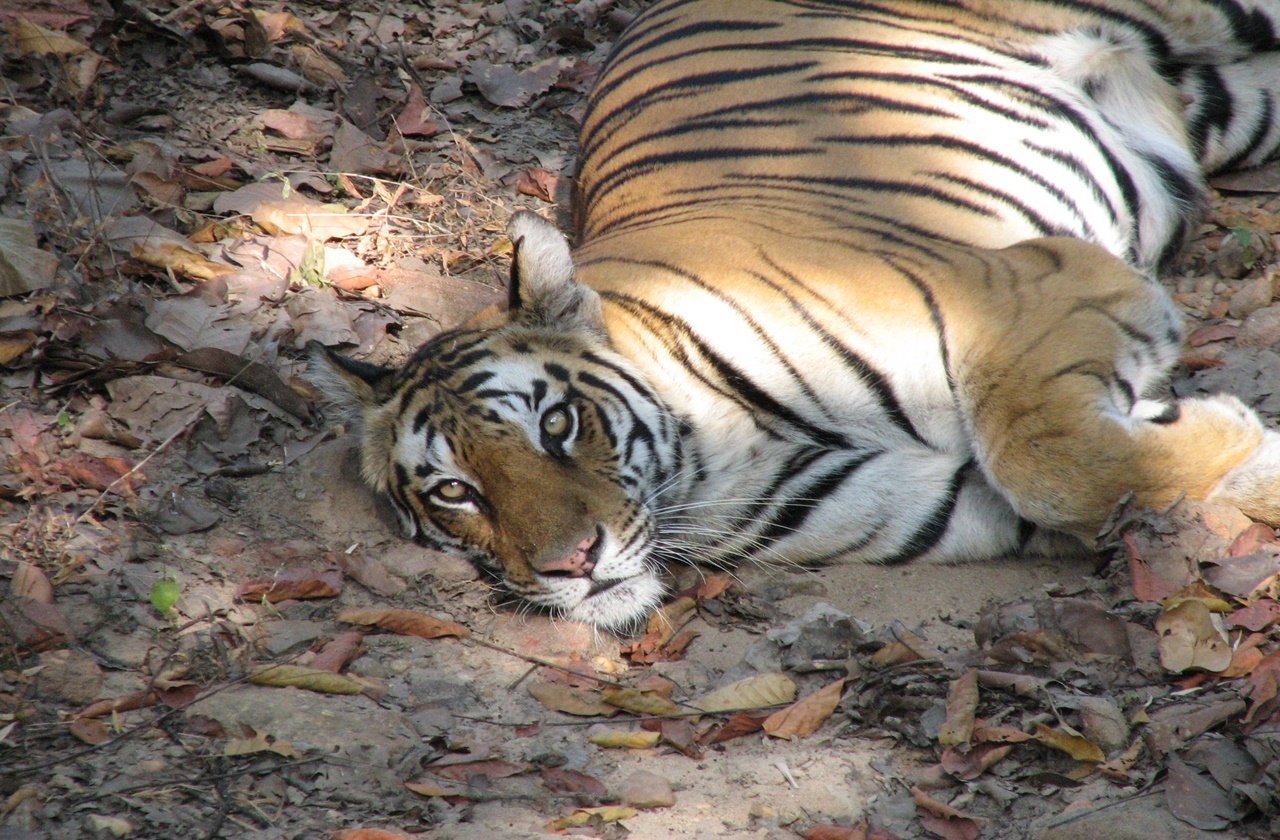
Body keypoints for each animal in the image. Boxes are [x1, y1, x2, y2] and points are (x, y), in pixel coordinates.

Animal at [307, 0, 1280, 630]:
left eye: (557, 424)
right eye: (454, 492)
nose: (570, 565)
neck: (716, 459)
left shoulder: (1036, 288)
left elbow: (1057, 459)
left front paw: (1230, 428)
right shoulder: (941, 499)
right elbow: (1090, 486)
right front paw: (1239, 452)